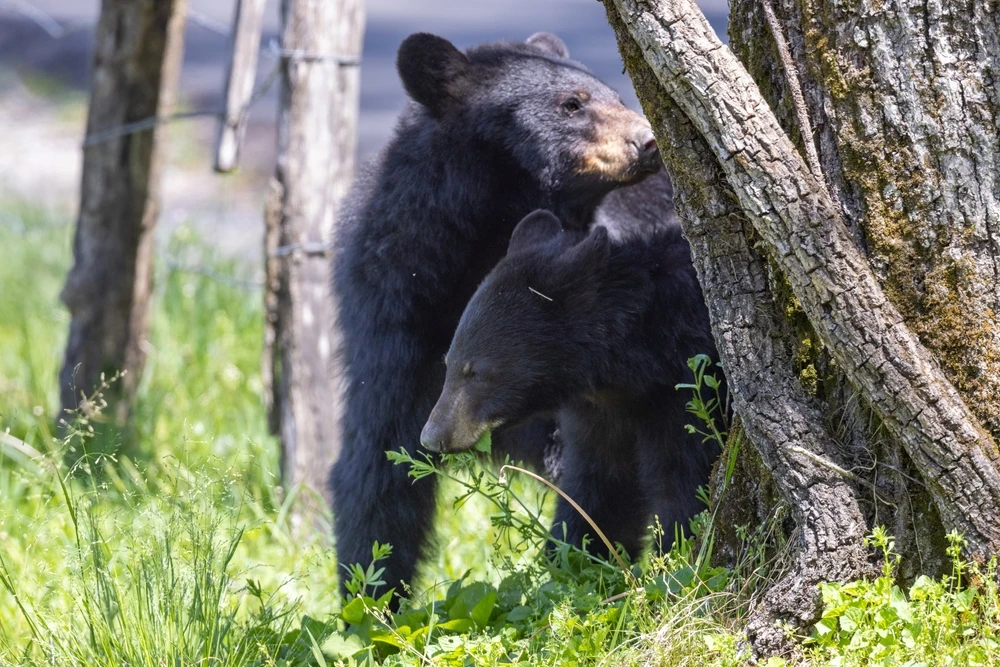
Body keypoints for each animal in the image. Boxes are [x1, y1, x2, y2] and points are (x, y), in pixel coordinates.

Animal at [330, 31, 664, 601]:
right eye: (572, 104)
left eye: (616, 92)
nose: (649, 141)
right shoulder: (396, 318)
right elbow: (379, 461)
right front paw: (371, 597)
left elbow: (584, 466)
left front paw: (574, 573)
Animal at [420, 210, 724, 560]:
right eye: (449, 363)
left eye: (477, 373)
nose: (432, 436)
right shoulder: (597, 413)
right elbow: (599, 489)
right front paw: (573, 556)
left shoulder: (686, 397)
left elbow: (682, 483)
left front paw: (682, 555)